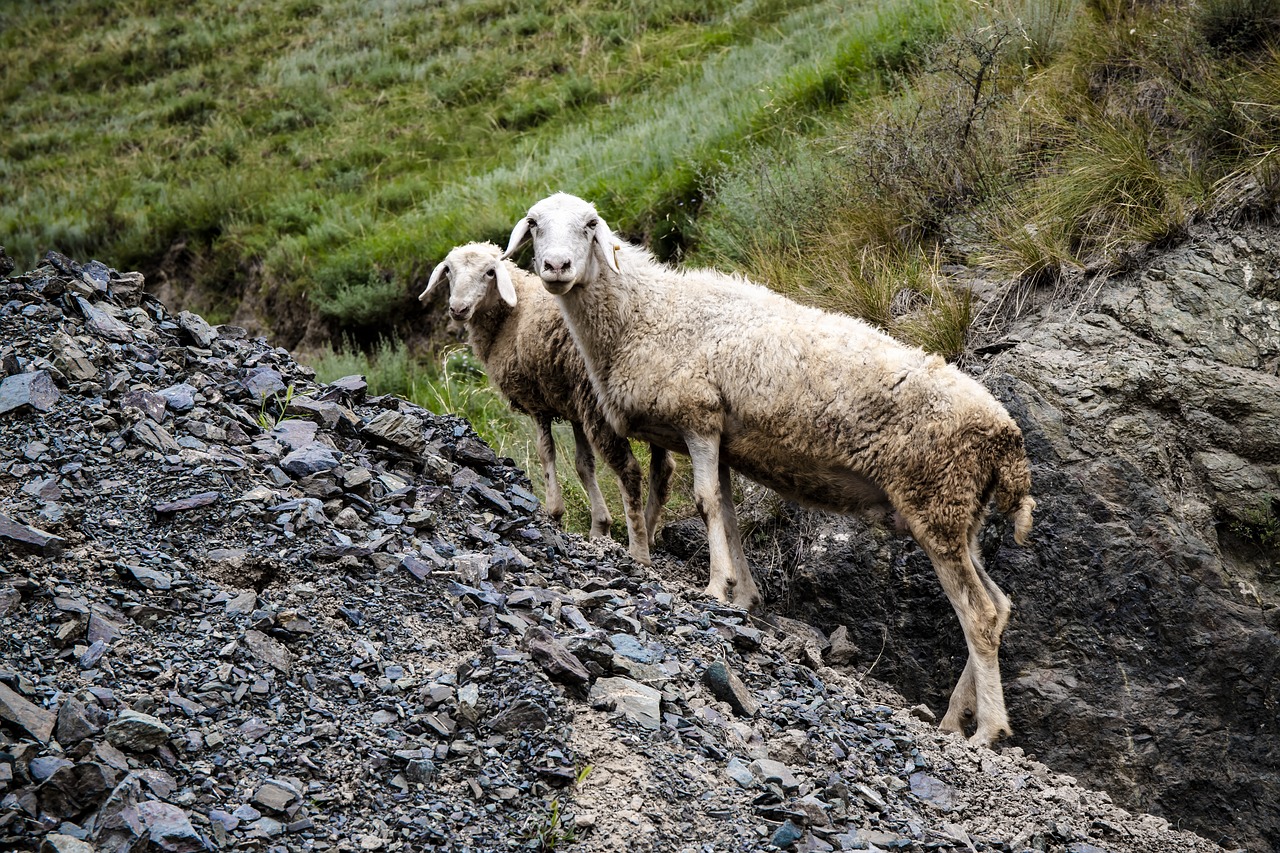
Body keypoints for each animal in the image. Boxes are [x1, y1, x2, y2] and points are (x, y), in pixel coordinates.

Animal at [419, 239, 680, 560]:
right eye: (448, 271)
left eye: (490, 272)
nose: (458, 308)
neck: (512, 315)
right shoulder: (572, 404)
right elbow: (583, 464)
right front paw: (600, 526)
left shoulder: (538, 401)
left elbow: (546, 453)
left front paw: (555, 511)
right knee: (663, 468)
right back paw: (651, 528)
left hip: (599, 405)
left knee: (629, 469)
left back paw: (639, 546)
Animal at [504, 194, 1034, 742]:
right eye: (535, 225)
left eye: (590, 225)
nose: (556, 267)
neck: (646, 311)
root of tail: (1006, 435)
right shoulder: (722, 440)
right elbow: (728, 513)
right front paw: (743, 596)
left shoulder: (698, 417)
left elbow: (705, 503)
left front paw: (715, 586)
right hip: (959, 514)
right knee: (999, 606)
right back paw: (954, 718)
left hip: (936, 502)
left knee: (979, 615)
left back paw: (988, 731)